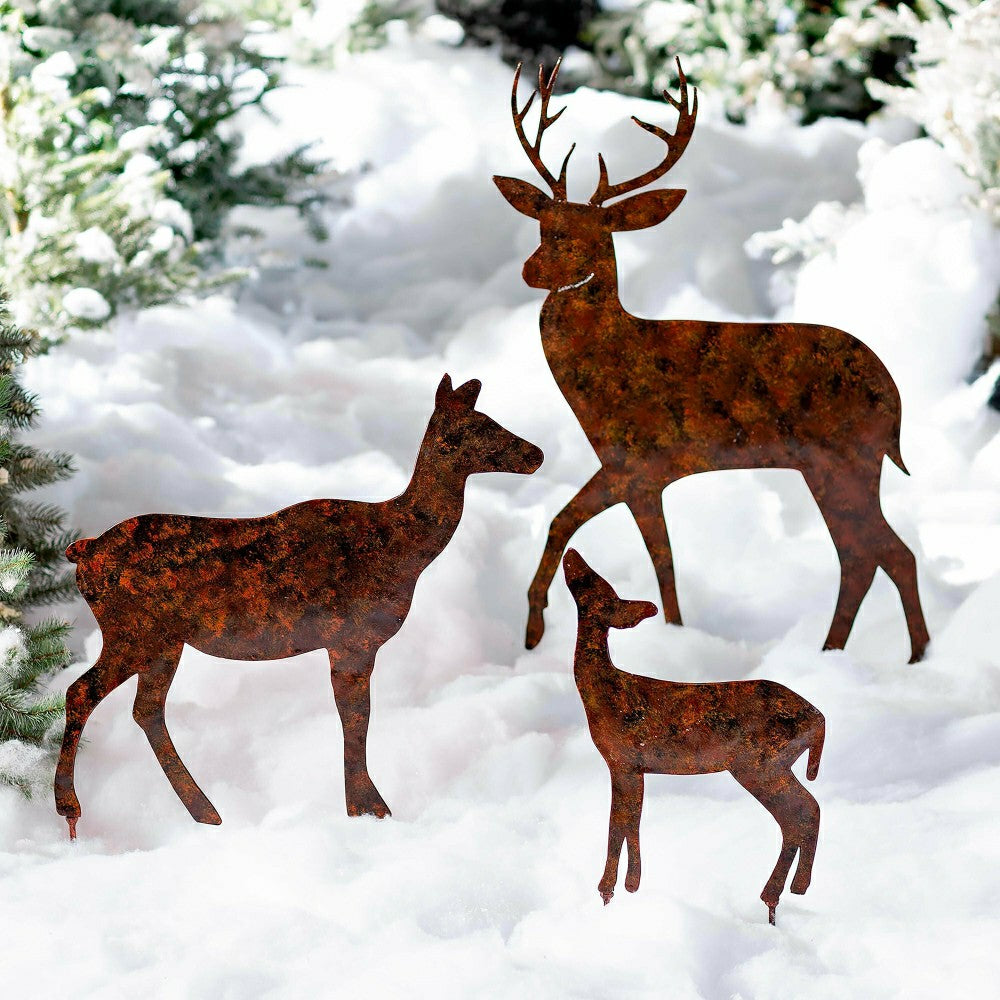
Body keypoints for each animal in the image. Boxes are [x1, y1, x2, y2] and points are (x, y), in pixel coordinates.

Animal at [55, 374, 543, 839]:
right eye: (472, 429)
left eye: (491, 419)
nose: (536, 454)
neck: (403, 549)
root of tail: (84, 553)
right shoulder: (353, 639)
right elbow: (357, 717)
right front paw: (368, 808)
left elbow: (355, 715)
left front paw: (363, 805)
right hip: (134, 630)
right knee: (83, 691)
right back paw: (72, 811)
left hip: (162, 643)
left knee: (145, 709)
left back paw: (205, 812)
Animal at [494, 58, 929, 663]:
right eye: (543, 226)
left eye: (592, 233)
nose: (531, 270)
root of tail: (894, 397)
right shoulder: (645, 477)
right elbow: (662, 561)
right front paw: (674, 636)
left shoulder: (635, 461)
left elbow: (568, 524)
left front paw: (535, 633)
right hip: (832, 465)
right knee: (872, 553)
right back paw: (861, 654)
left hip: (845, 458)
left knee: (878, 552)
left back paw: (882, 658)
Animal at [563, 548, 824, 924]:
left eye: (592, 581)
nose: (571, 554)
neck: (605, 692)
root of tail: (820, 720)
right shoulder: (631, 766)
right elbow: (627, 823)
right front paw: (626, 888)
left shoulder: (624, 761)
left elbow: (619, 826)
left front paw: (611, 891)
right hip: (772, 764)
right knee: (800, 816)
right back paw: (777, 899)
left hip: (761, 763)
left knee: (806, 811)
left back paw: (785, 894)